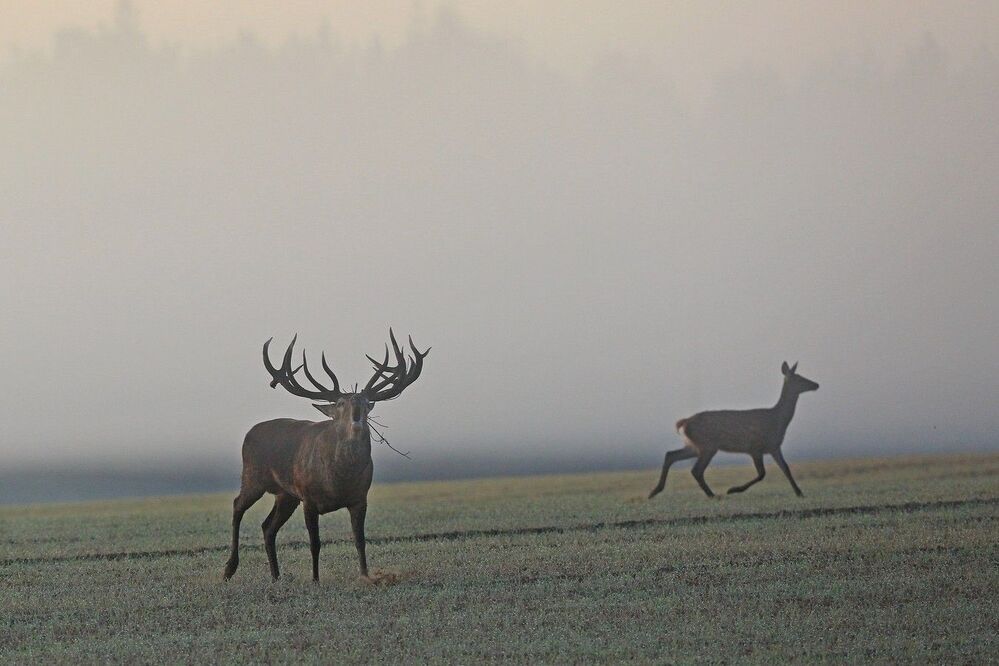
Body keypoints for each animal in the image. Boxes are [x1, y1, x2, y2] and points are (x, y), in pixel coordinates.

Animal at [222, 330, 429, 583]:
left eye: (366, 402)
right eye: (340, 402)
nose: (356, 408)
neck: (339, 479)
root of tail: (249, 433)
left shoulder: (360, 498)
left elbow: (360, 540)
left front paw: (365, 575)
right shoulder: (309, 499)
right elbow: (315, 543)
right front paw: (315, 580)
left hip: (285, 494)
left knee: (267, 526)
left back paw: (276, 576)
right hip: (253, 476)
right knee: (237, 506)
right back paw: (229, 569)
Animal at [648, 362, 819, 500]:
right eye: (799, 378)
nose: (816, 384)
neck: (777, 420)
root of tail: (683, 423)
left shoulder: (774, 447)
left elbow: (786, 469)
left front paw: (799, 493)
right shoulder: (755, 447)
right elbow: (762, 474)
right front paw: (733, 490)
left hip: (695, 446)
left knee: (671, 455)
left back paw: (655, 491)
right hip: (707, 445)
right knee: (695, 470)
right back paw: (712, 495)